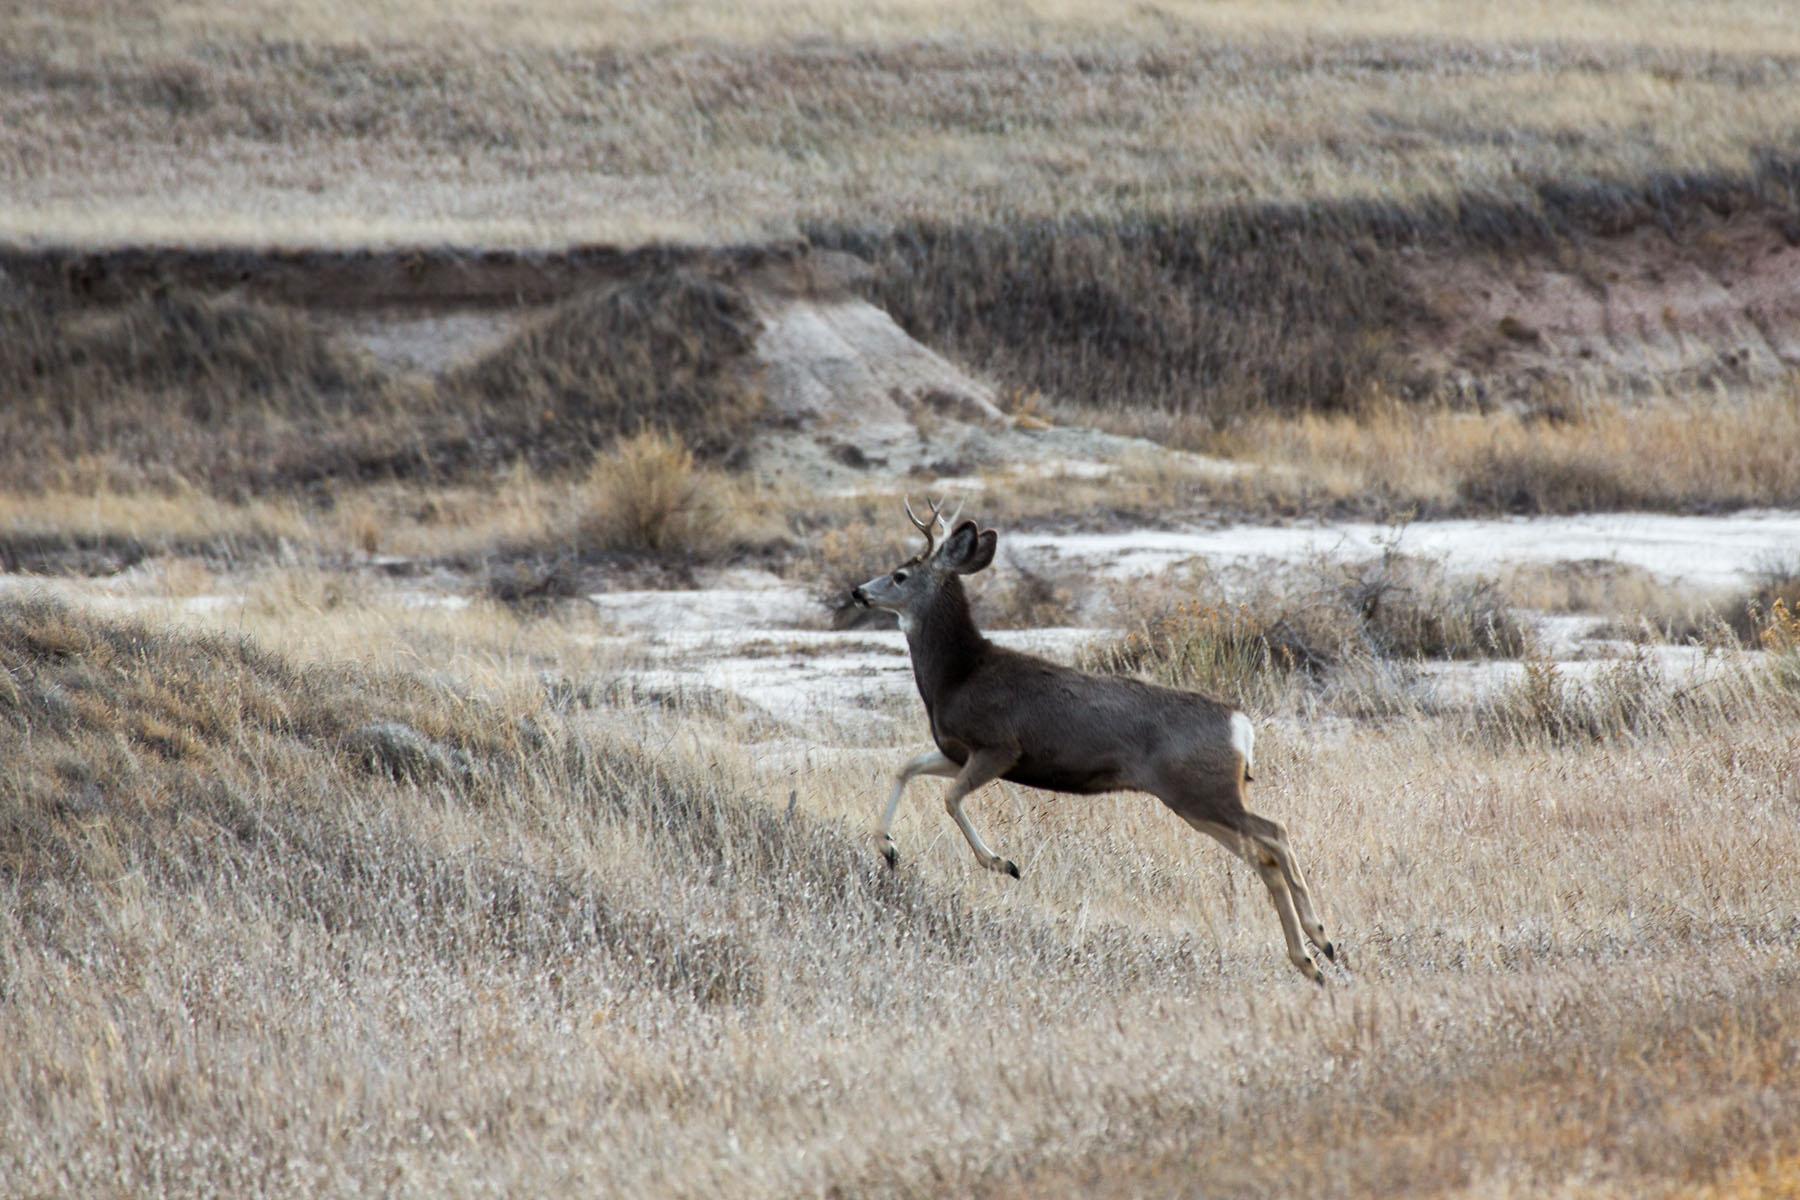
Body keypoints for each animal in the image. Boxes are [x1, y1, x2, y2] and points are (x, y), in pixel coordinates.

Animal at [850, 498, 1337, 983]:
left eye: (899, 574)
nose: (858, 591)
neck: (957, 675)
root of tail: (1241, 725)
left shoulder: (999, 746)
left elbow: (950, 799)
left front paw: (1002, 863)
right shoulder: (957, 751)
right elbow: (905, 767)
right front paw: (888, 849)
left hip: (1203, 791)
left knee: (1272, 840)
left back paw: (1316, 945)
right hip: (1199, 799)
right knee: (1268, 849)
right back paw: (1316, 951)